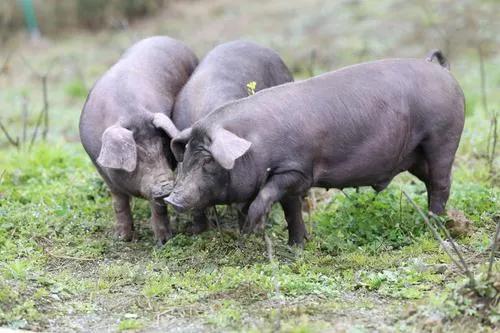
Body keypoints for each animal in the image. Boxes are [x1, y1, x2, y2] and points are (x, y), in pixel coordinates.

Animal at [78, 36, 197, 244]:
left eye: (164, 148)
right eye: (137, 156)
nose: (167, 185)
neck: (131, 113)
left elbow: (158, 207)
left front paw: (163, 241)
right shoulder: (102, 171)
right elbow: (119, 202)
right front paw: (122, 238)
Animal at [167, 51, 464, 244]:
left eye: (208, 162)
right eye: (186, 158)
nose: (171, 198)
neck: (257, 144)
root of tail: (443, 71)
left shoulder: (295, 169)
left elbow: (269, 195)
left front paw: (252, 227)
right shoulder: (290, 183)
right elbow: (291, 211)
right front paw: (297, 245)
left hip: (442, 137)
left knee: (441, 183)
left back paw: (435, 226)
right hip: (415, 156)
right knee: (430, 181)